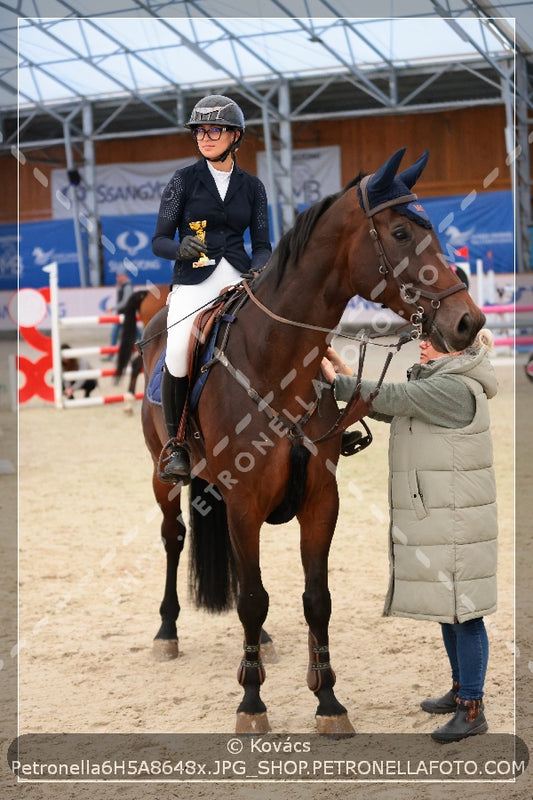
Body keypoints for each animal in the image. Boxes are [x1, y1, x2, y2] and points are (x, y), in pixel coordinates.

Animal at [139, 147, 484, 736]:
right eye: (399, 232)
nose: (469, 321)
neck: (274, 359)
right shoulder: (245, 503)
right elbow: (253, 599)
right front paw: (252, 703)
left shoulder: (322, 499)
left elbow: (315, 599)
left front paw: (328, 701)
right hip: (166, 480)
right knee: (174, 537)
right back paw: (167, 633)